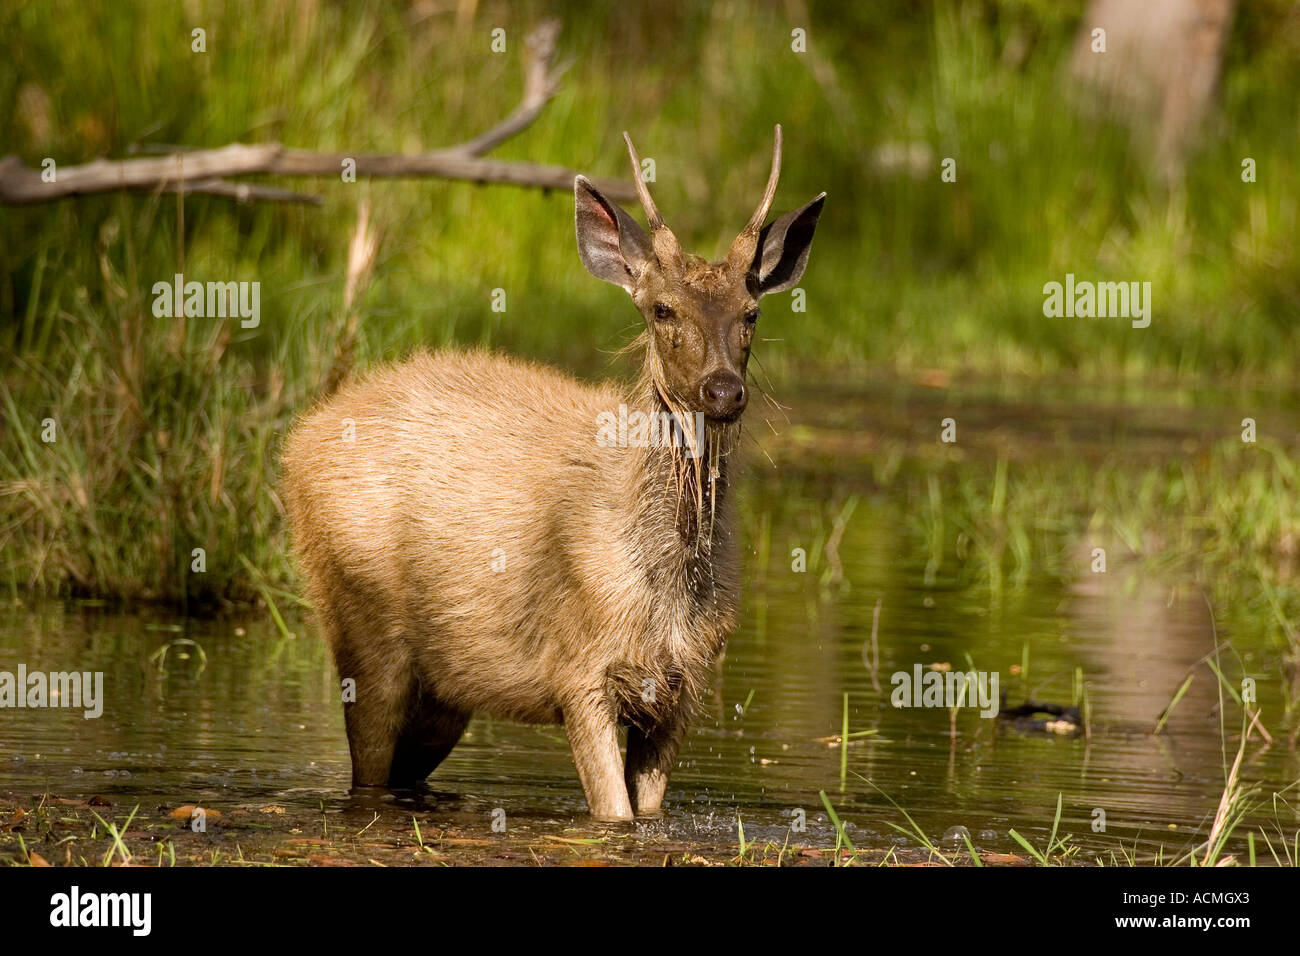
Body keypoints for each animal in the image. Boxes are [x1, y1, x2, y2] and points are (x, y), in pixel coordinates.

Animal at [283, 123, 821, 816]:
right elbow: (614, 815)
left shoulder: (684, 687)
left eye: (751, 314)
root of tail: (299, 441)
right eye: (662, 310)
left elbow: (647, 814)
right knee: (367, 773)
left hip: (447, 685)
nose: (723, 390)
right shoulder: (577, 669)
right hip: (361, 621)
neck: (664, 591)